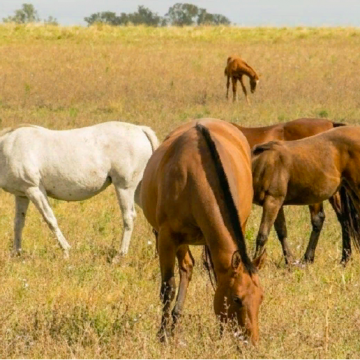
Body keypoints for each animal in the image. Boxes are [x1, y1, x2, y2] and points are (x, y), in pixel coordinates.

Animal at [0, 121, 159, 258]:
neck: (8, 147)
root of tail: (140, 129)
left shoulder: (34, 190)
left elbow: (50, 219)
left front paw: (66, 251)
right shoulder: (22, 194)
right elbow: (18, 223)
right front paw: (16, 254)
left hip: (124, 187)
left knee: (128, 217)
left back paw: (119, 256)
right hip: (138, 190)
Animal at [141, 118, 264, 344]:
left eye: (261, 298)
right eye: (237, 298)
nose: (251, 342)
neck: (195, 174)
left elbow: (217, 279)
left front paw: (221, 332)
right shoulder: (167, 237)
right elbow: (167, 288)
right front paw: (162, 336)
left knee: (191, 267)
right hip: (175, 238)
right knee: (186, 267)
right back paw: (172, 325)